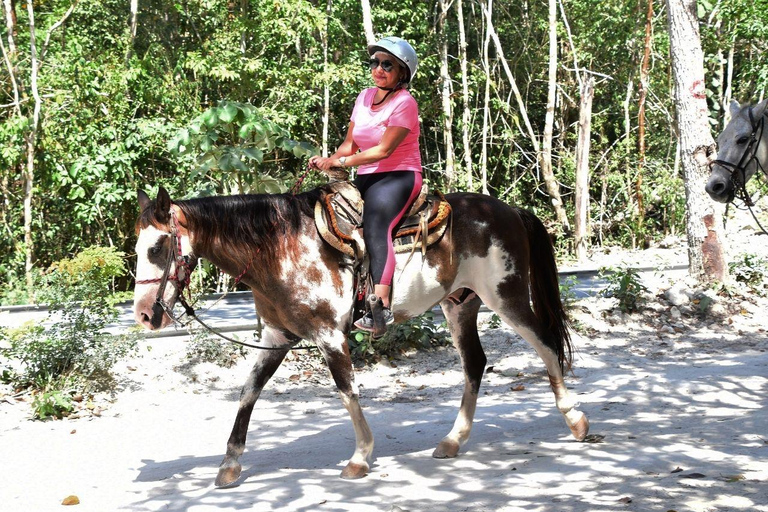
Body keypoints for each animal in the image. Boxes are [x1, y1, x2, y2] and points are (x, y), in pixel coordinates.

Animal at [134, 186, 588, 486]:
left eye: (157, 247)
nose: (144, 315)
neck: (280, 249)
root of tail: (510, 210)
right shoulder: (279, 338)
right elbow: (248, 393)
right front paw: (229, 464)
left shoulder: (330, 336)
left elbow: (346, 392)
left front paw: (360, 457)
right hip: (460, 305)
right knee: (475, 363)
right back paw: (453, 440)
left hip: (506, 296)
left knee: (546, 343)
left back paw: (575, 420)